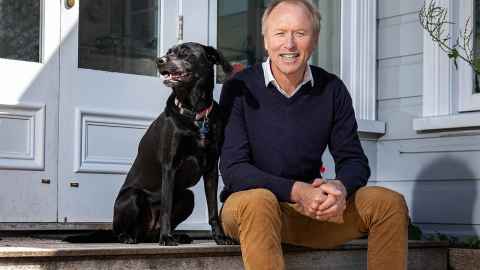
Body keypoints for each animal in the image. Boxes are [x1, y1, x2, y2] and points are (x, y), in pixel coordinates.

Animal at [112, 42, 234, 247]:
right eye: (168, 52)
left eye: (185, 53)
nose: (159, 60)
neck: (195, 113)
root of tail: (144, 232)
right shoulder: (170, 166)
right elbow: (166, 207)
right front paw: (166, 238)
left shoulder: (211, 169)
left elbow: (213, 209)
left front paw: (220, 237)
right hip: (132, 197)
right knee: (121, 230)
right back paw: (130, 237)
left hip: (187, 197)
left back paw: (175, 236)